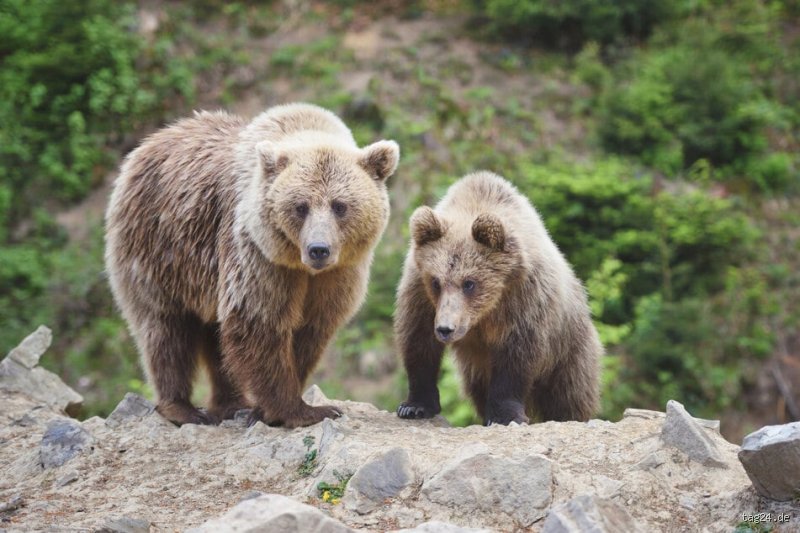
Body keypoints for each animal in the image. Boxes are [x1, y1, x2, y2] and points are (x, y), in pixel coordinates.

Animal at [105, 103, 399, 428]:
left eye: (340, 206)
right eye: (300, 206)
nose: (318, 249)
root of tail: (148, 143)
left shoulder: (340, 272)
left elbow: (310, 331)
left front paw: (272, 407)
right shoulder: (258, 255)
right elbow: (258, 321)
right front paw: (301, 410)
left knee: (214, 337)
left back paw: (231, 403)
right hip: (157, 248)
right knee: (165, 328)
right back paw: (183, 408)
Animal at [395, 171, 601, 425]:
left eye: (469, 283)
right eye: (436, 282)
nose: (445, 329)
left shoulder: (524, 298)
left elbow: (516, 356)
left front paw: (505, 415)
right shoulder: (420, 294)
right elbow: (418, 342)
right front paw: (414, 406)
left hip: (568, 349)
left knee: (569, 393)